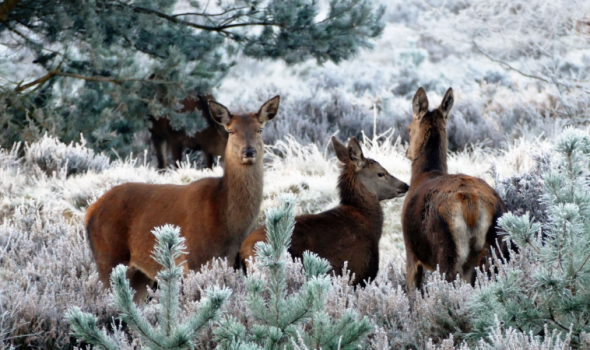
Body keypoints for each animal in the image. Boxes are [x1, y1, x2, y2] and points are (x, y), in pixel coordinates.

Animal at [86, 95, 284, 300]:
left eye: (259, 129)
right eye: (231, 130)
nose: (249, 151)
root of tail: (89, 212)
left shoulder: (233, 263)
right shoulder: (194, 260)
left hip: (139, 275)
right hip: (108, 257)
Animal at [402, 88, 508, 292]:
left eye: (409, 129)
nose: (407, 153)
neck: (422, 175)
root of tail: (472, 204)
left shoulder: (411, 253)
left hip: (447, 249)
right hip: (496, 246)